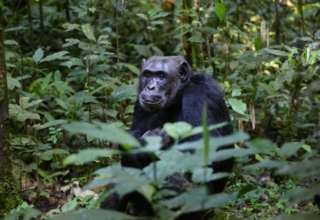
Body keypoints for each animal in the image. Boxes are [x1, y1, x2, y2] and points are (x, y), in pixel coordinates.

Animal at [104, 56, 234, 218]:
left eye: (161, 76)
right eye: (147, 75)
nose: (150, 87)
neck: (179, 94)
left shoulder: (200, 95)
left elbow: (207, 150)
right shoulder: (140, 101)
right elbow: (133, 134)